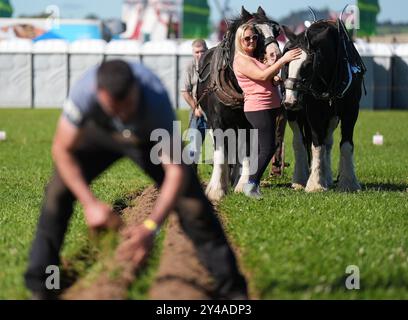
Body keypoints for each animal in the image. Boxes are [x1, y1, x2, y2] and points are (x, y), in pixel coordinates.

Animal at [197, 6, 280, 201]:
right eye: (255, 34)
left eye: (276, 31)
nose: (276, 55)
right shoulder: (217, 122)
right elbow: (221, 152)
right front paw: (216, 190)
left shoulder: (248, 123)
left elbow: (247, 151)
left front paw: (242, 185)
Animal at [280, 20, 366, 192]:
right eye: (286, 63)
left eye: (307, 63)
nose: (290, 101)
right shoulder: (314, 111)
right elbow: (316, 143)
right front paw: (315, 184)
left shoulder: (351, 110)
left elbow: (346, 144)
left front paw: (348, 182)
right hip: (295, 115)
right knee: (299, 142)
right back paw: (300, 179)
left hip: (331, 117)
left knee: (328, 142)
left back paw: (326, 176)